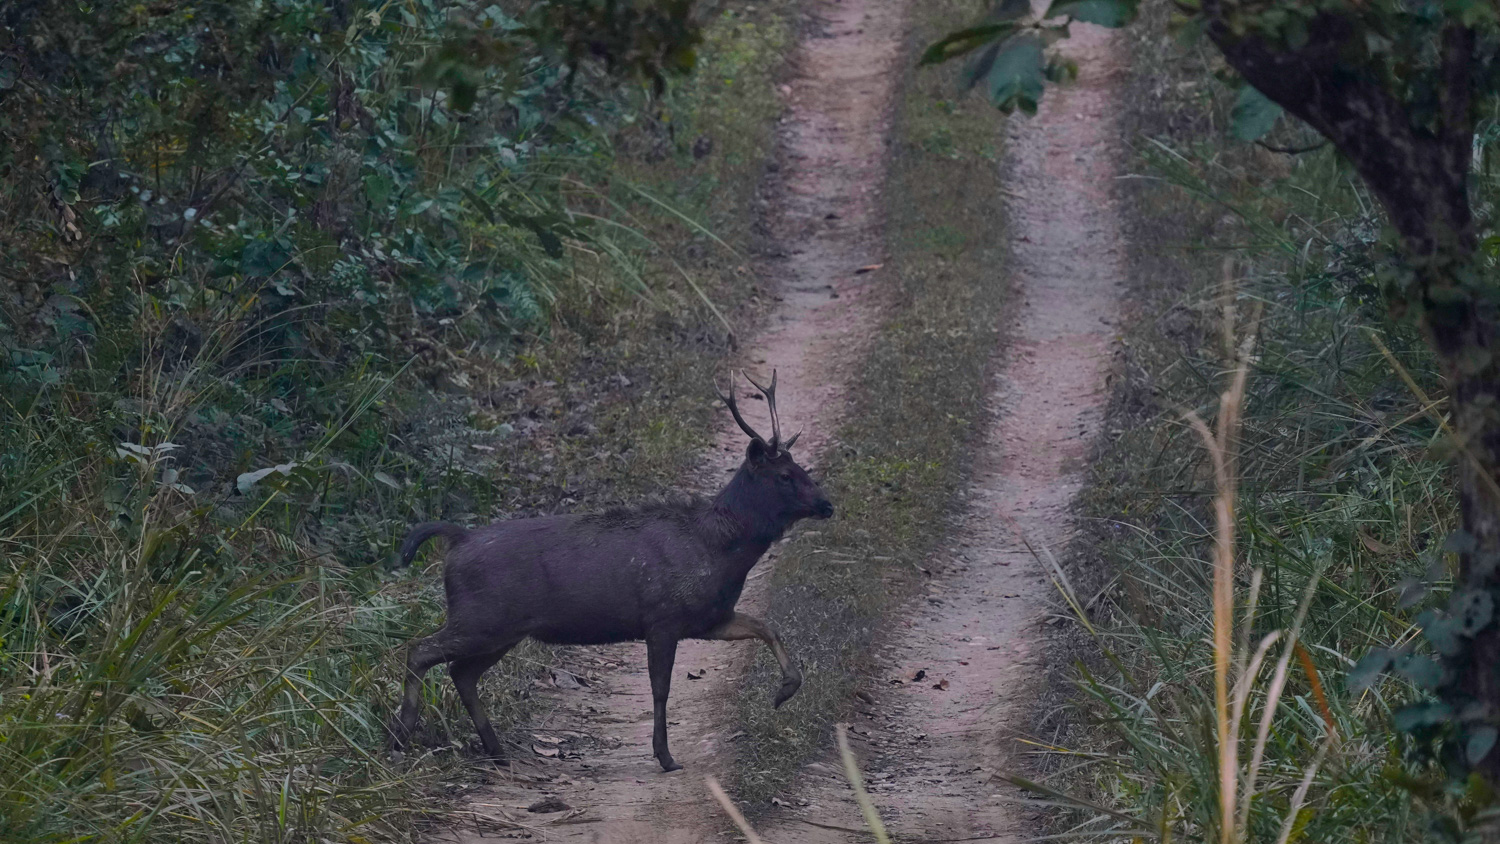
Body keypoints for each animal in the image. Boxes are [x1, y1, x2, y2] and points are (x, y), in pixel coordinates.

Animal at [387, 370, 834, 773]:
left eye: (802, 467)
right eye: (785, 475)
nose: (827, 504)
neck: (717, 552)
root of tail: (458, 539)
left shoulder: (709, 618)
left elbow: (766, 626)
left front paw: (785, 691)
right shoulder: (662, 616)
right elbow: (660, 689)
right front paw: (665, 756)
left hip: (501, 629)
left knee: (461, 672)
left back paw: (494, 751)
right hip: (481, 617)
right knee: (420, 650)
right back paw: (400, 737)